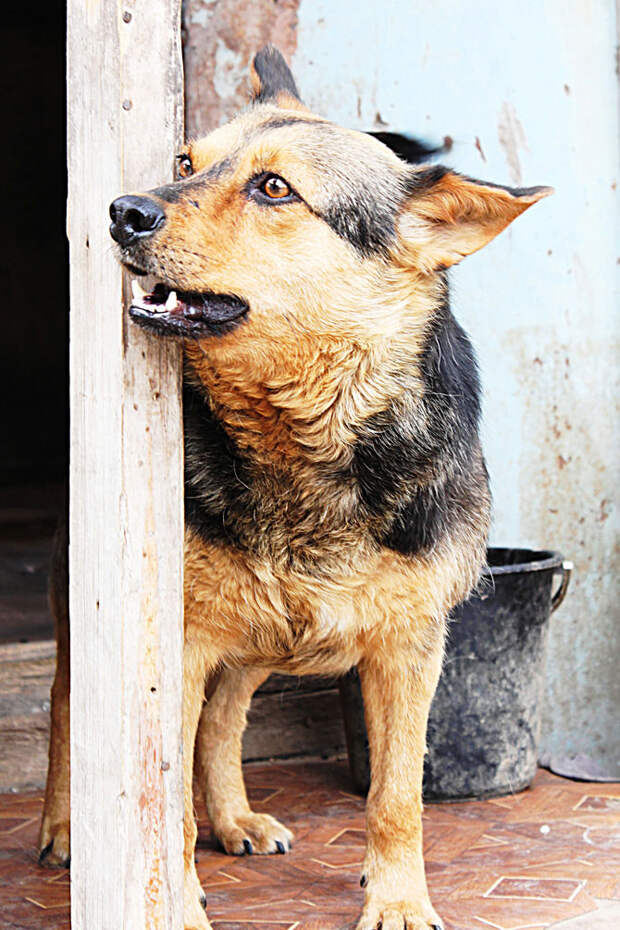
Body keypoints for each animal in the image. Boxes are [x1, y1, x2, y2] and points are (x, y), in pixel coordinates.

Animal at [40, 49, 552, 928]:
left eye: (274, 188)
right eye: (186, 163)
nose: (122, 211)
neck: (303, 436)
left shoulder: (411, 645)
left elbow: (397, 795)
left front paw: (399, 898)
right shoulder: (176, 640)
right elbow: (160, 803)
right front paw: (177, 905)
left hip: (256, 637)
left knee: (222, 721)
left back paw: (236, 818)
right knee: (70, 710)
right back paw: (68, 829)